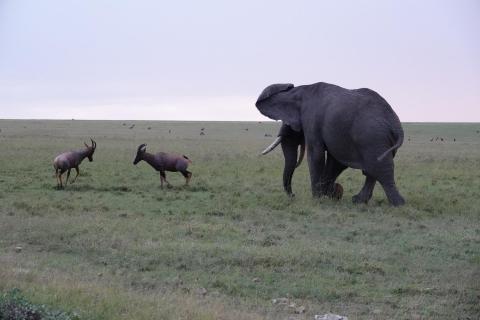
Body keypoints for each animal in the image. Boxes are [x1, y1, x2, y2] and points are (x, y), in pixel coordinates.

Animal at [255, 81, 404, 206]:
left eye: (288, 125)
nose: (293, 195)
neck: (299, 90)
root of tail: (396, 123)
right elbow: (335, 161)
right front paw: (330, 193)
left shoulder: (311, 118)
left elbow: (316, 155)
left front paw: (317, 198)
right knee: (372, 171)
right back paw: (358, 201)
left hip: (373, 138)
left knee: (381, 170)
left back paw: (398, 204)